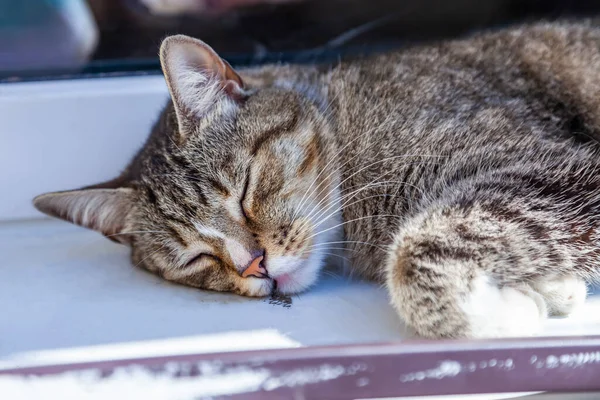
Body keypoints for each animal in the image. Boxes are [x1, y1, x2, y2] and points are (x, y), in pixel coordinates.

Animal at [34, 21, 600, 340]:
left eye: (245, 191)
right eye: (194, 258)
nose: (256, 266)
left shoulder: (551, 168)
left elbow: (414, 254)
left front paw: (500, 313)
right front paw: (540, 289)